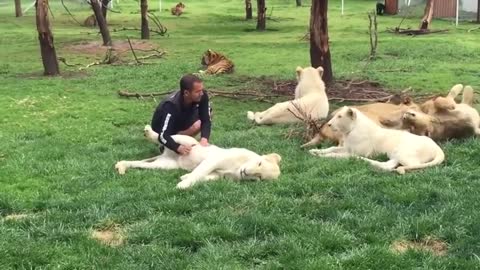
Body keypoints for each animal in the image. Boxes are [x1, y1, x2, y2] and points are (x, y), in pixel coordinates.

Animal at [115, 125, 282, 189]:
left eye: (259, 177)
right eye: (259, 163)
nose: (245, 173)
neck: (237, 169)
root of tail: (166, 153)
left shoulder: (218, 175)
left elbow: (202, 177)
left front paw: (184, 178)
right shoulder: (213, 160)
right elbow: (199, 173)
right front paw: (182, 185)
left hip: (164, 165)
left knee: (140, 164)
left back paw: (121, 166)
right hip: (186, 140)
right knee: (163, 136)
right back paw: (148, 131)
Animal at [310, 106, 444, 174]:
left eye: (340, 116)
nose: (328, 124)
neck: (350, 130)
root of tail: (438, 148)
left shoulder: (355, 151)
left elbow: (338, 154)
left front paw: (324, 156)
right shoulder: (346, 148)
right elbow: (332, 147)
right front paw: (315, 151)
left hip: (402, 152)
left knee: (408, 165)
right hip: (395, 153)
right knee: (387, 165)